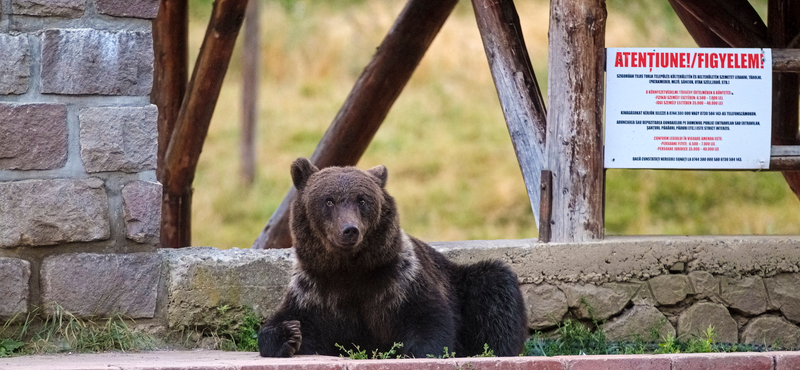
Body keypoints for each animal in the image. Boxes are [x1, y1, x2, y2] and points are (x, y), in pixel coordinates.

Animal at [260, 158, 528, 356]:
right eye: (328, 200)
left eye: (362, 199)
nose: (349, 229)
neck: (349, 271)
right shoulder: (315, 292)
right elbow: (288, 324)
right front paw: (288, 334)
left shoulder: (398, 282)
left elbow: (429, 320)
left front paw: (417, 352)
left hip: (462, 282)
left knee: (495, 288)